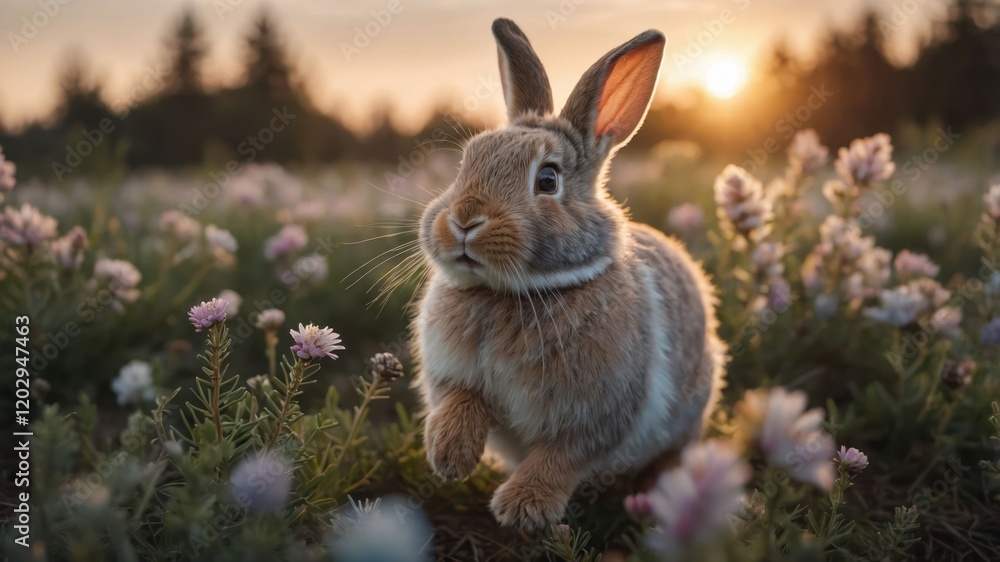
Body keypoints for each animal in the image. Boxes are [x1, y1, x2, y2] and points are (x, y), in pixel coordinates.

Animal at [411, 17, 726, 530]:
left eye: (547, 179)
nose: (464, 220)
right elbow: (460, 400)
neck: (512, 291)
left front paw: (524, 507)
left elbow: (560, 458)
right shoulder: (451, 376)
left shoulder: (597, 413)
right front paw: (449, 455)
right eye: (466, 162)